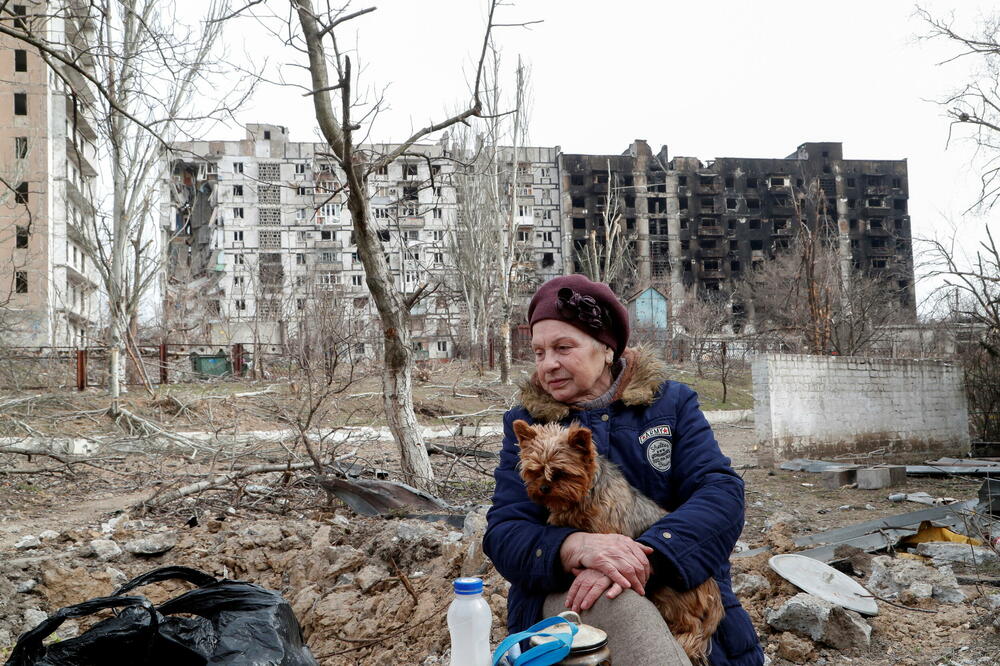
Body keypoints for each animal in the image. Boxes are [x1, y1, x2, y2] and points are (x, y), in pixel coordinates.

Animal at [512, 418, 724, 660]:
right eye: (534, 471)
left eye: (561, 473)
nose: (544, 488)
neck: (583, 496)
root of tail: (713, 593)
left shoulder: (608, 532)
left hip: (670, 594)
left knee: (691, 626)